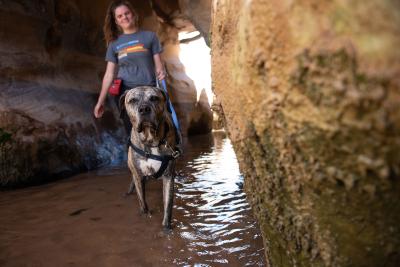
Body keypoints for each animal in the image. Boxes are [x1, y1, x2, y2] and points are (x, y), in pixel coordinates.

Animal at [119, 86, 180, 232]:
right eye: (133, 100)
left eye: (154, 98)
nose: (144, 109)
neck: (151, 140)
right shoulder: (138, 175)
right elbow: (143, 202)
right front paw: (146, 216)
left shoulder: (168, 177)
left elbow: (168, 206)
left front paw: (166, 228)